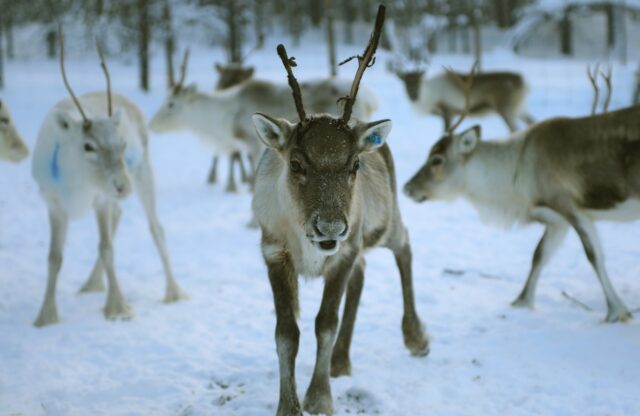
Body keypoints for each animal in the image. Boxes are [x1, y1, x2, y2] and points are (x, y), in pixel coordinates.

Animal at [31, 30, 186, 328]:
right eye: (88, 146)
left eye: (122, 143)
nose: (123, 186)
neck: (76, 182)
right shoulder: (54, 205)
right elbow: (54, 257)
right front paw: (45, 315)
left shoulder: (100, 198)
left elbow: (106, 248)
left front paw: (118, 308)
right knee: (119, 215)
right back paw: (91, 284)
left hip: (143, 173)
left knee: (155, 228)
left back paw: (174, 292)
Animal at [149, 52, 380, 194]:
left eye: (171, 104)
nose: (152, 125)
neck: (223, 121)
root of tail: (370, 98)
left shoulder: (254, 143)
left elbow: (254, 180)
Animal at [252, 6, 429, 415]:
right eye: (296, 163)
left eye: (354, 165)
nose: (330, 227)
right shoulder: (274, 251)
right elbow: (286, 333)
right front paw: (288, 405)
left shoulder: (345, 249)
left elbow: (325, 324)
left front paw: (319, 398)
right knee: (362, 276)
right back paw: (341, 359)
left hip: (380, 224)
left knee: (404, 244)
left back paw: (415, 337)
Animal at [393, 64, 534, 133]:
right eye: (404, 82)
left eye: (418, 80)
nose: (413, 95)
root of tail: (524, 82)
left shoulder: (448, 111)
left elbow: (444, 132)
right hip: (521, 109)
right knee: (532, 122)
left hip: (506, 110)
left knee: (515, 129)